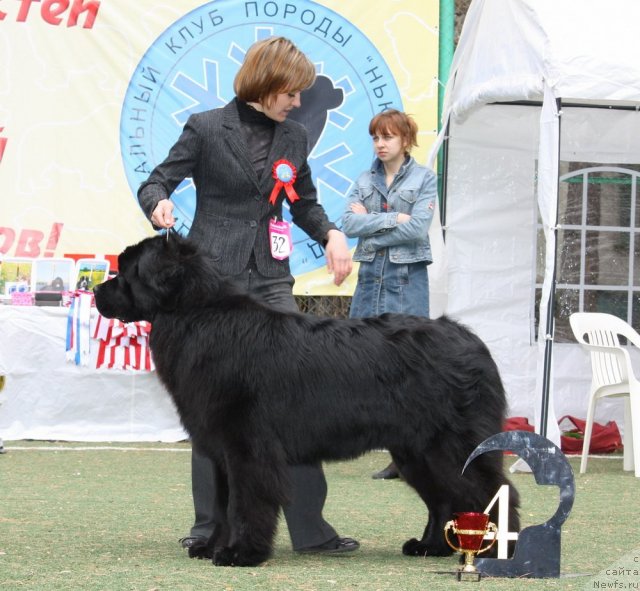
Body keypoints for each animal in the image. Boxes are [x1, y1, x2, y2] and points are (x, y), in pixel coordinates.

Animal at [92, 236, 516, 568]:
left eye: (126, 272)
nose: (95, 292)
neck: (198, 316)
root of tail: (470, 339)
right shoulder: (224, 450)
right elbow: (224, 505)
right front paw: (213, 547)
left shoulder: (247, 448)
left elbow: (244, 503)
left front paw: (242, 554)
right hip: (416, 451)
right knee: (442, 498)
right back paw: (430, 546)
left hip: (447, 445)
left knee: (490, 489)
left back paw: (499, 552)